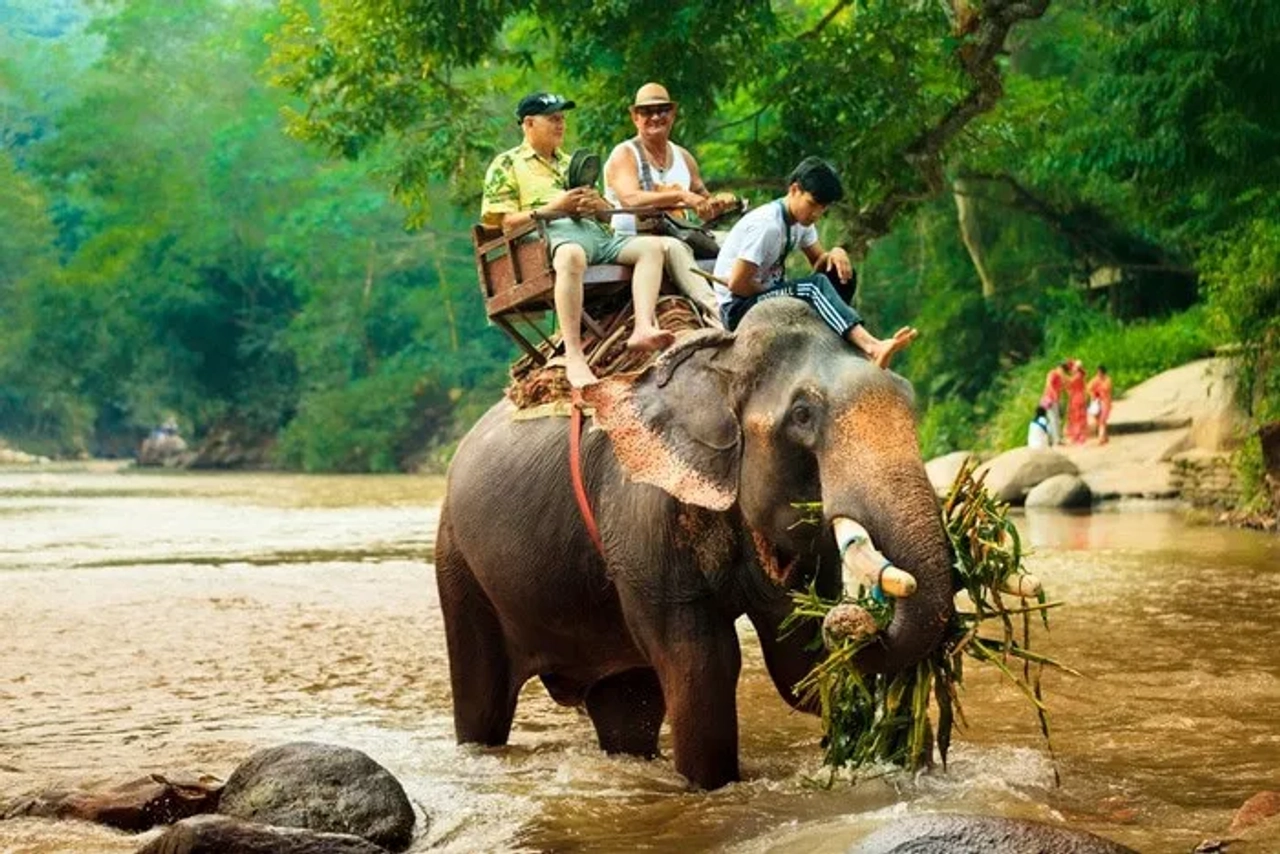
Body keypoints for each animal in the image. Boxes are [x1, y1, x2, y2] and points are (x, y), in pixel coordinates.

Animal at [434, 298, 956, 789]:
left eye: (909, 398)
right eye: (803, 415)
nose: (858, 617)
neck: (721, 361)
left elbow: (797, 664)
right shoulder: (642, 513)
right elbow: (704, 665)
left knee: (628, 709)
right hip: (457, 560)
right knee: (482, 699)